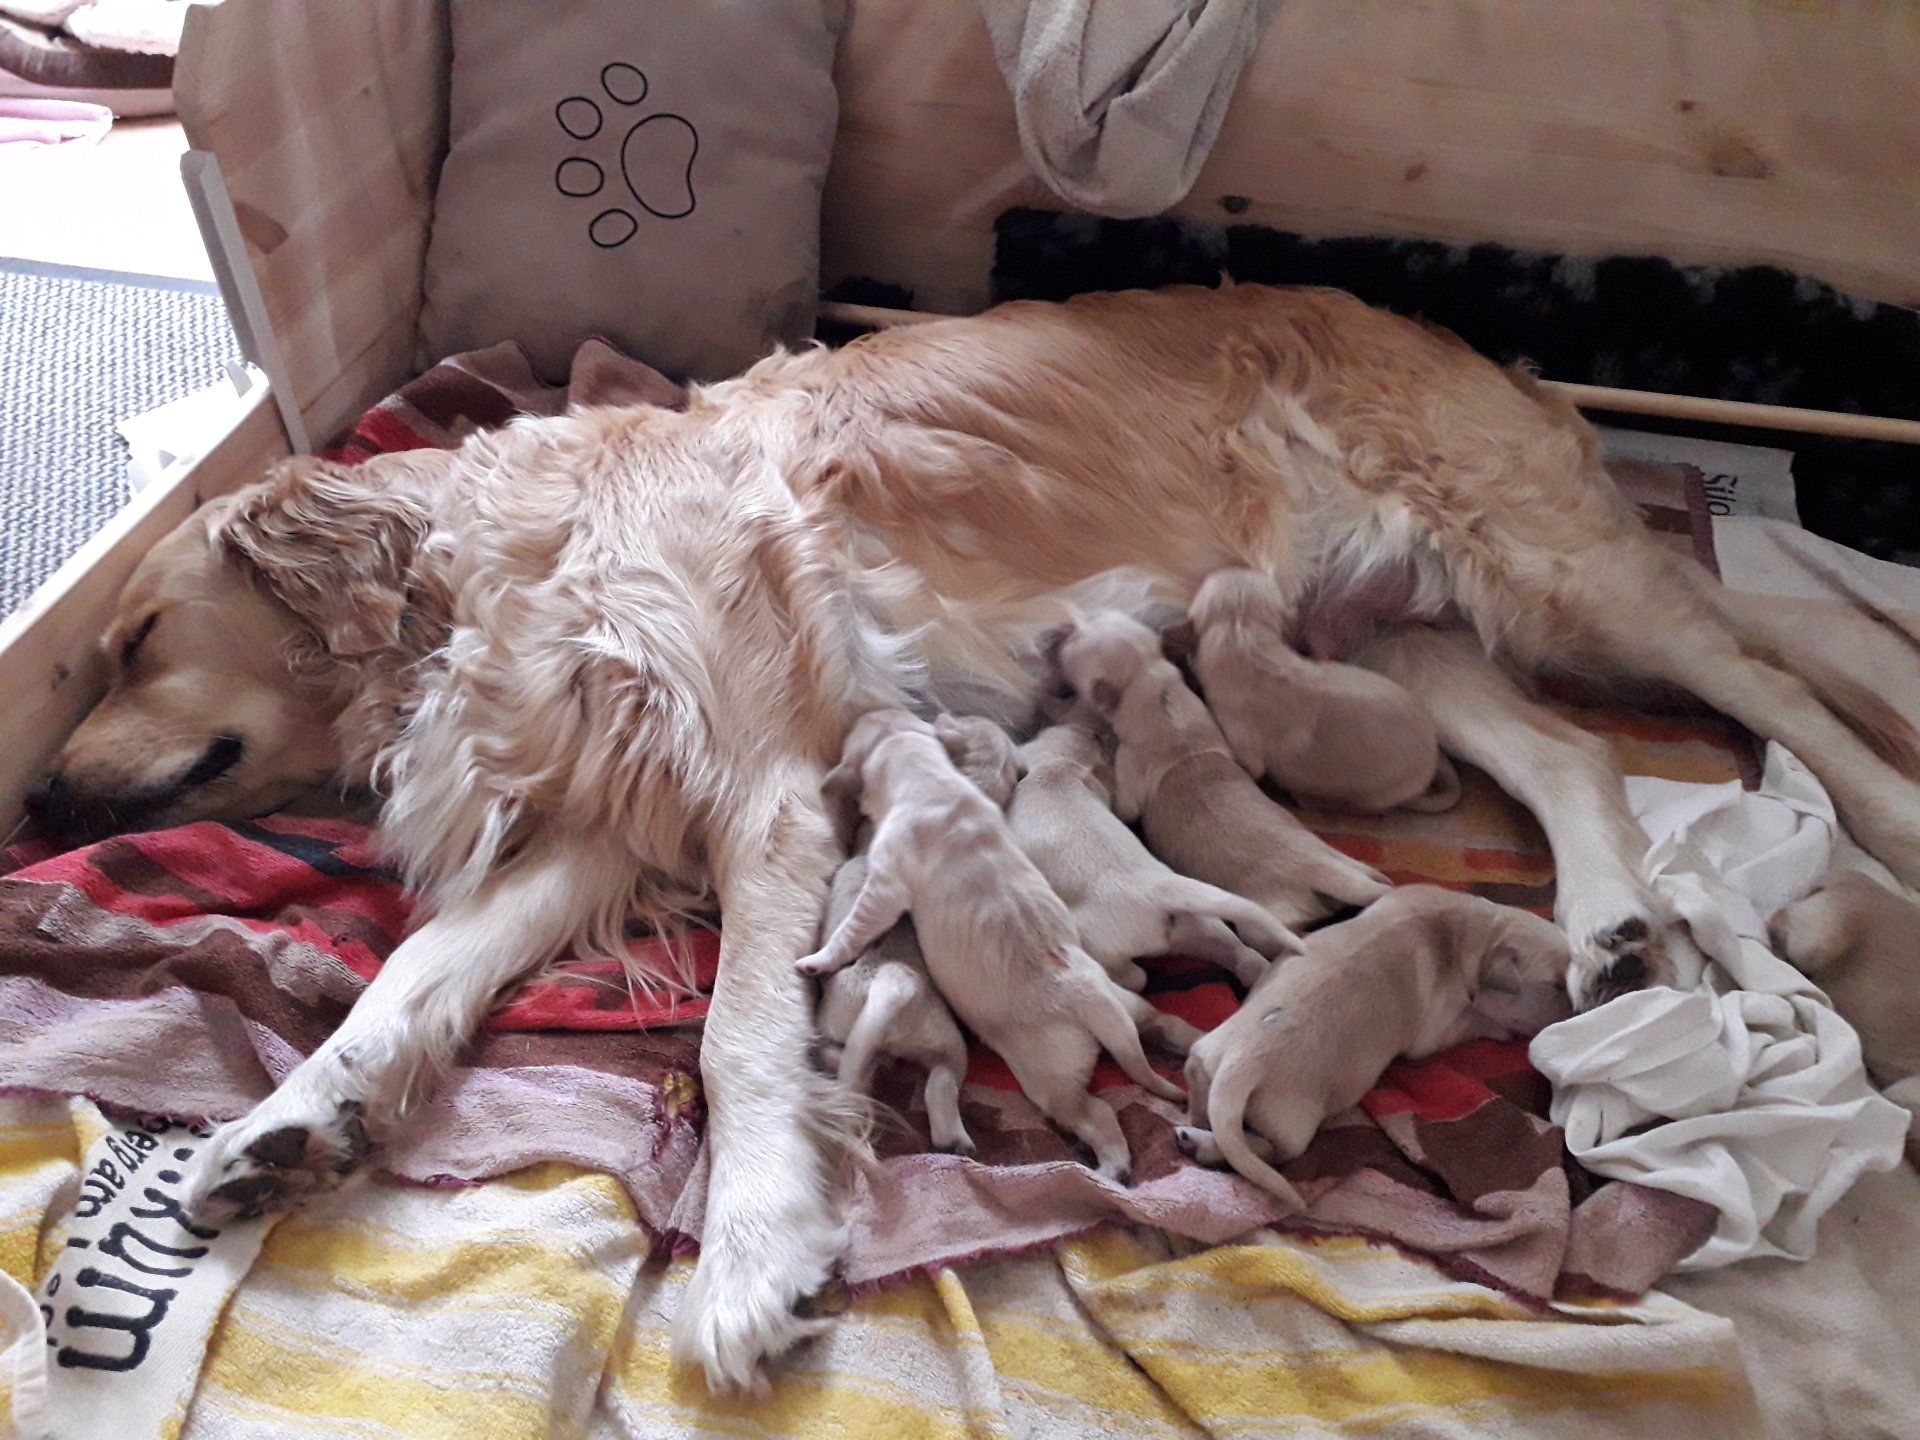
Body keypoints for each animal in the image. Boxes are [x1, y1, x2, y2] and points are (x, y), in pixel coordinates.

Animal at [796, 709, 1197, 1181]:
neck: (931, 779)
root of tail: (1087, 997)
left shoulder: (886, 885)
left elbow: (855, 926)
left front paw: (818, 961)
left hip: (1046, 1075)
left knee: (1092, 1112)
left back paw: (1110, 1167)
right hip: (1123, 1005)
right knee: (1160, 1021)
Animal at [1009, 701, 1301, 988]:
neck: (1060, 770)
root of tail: (1154, 890)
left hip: (1097, 940)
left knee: (1136, 977)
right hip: (1202, 923)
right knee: (1245, 956)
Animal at [1054, 610, 1394, 929]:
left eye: (1077, 640)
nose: (1062, 632)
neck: (1156, 688)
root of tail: (1320, 871)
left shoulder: (1129, 765)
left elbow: (1125, 805)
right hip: (1348, 861)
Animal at [1175, 886, 1572, 1205]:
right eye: (1556, 986)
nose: (1579, 1009)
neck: (1474, 929)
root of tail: (1240, 1066)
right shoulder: (1435, 1031)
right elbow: (1474, 1022)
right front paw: (1499, 1027)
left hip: (1208, 1053)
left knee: (1201, 1088)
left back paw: (1194, 1127)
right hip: (1293, 1124)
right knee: (1271, 1151)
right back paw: (1204, 1144)